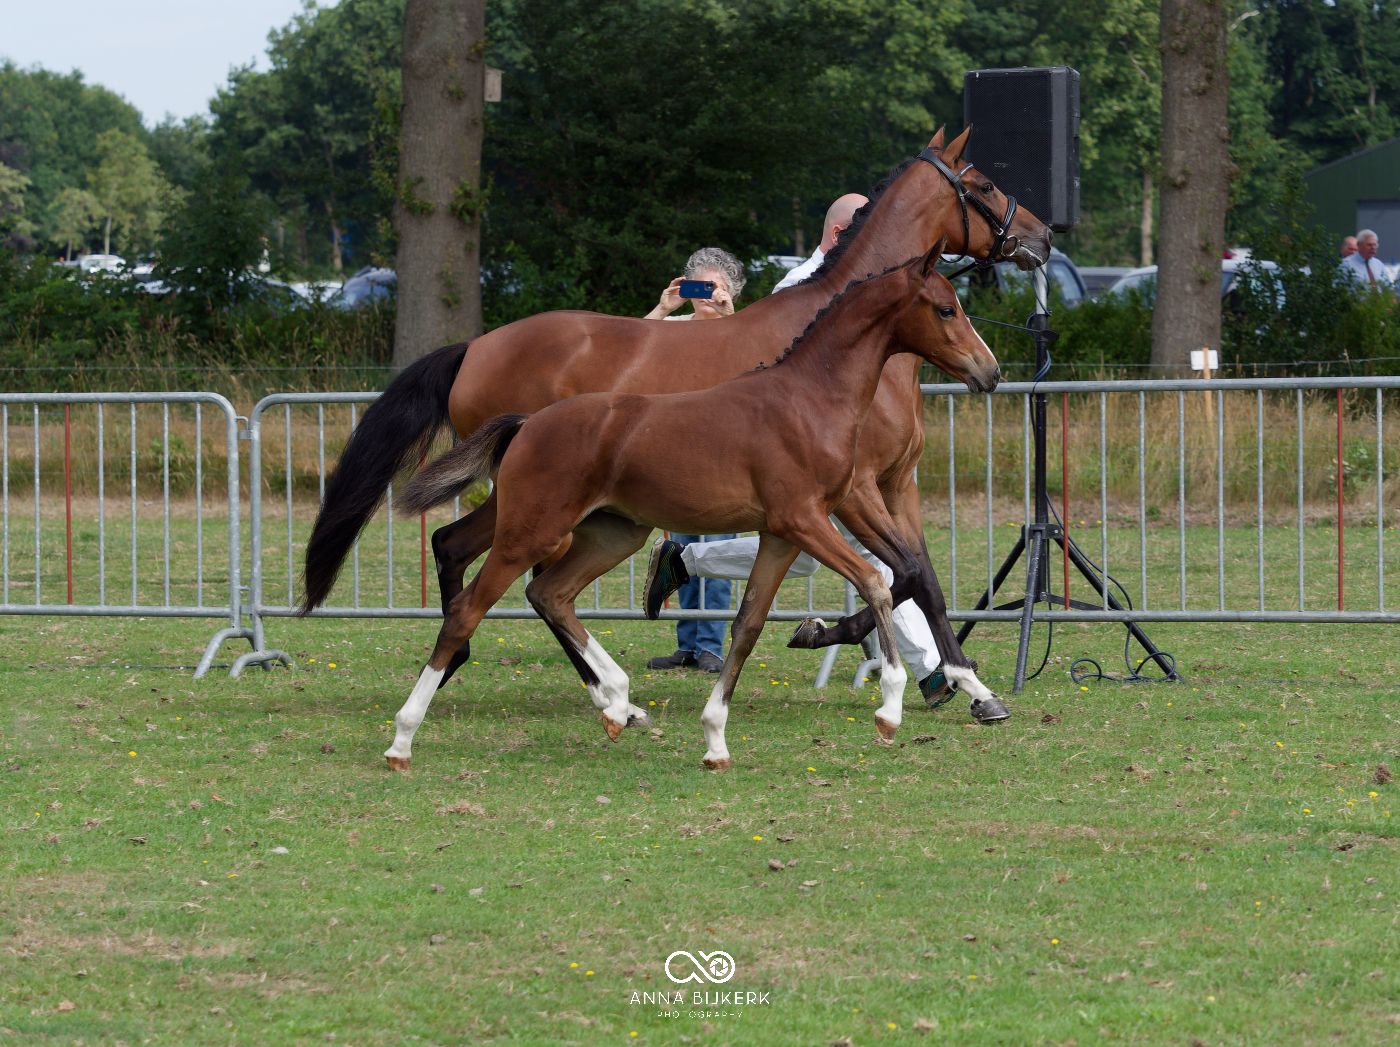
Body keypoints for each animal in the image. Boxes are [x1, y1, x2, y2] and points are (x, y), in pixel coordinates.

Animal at [301, 127, 1052, 718]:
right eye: (984, 183)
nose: (1042, 238)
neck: (851, 351)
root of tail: (475, 348)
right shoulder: (856, 491)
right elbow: (907, 573)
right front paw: (940, 675)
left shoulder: (894, 484)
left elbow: (918, 573)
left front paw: (957, 680)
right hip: (539, 500)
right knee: (516, 572)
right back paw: (589, 687)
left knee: (468, 551)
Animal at [384, 242, 1000, 771]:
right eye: (946, 308)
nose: (989, 371)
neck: (809, 398)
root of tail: (527, 424)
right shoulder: (804, 518)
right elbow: (877, 581)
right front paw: (890, 709)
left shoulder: (781, 534)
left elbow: (748, 624)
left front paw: (715, 739)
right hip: (528, 531)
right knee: (469, 608)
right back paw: (403, 739)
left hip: (614, 534)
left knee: (550, 594)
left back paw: (619, 704)